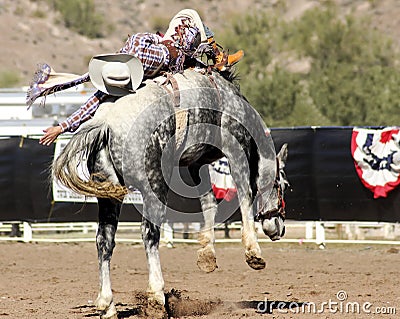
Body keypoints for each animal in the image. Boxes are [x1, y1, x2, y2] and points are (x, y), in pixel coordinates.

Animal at [52, 69, 288, 318]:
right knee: (149, 234)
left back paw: (107, 305)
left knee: (104, 241)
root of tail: (106, 122)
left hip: (109, 194)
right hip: (154, 186)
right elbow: (245, 194)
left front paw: (207, 254)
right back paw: (156, 296)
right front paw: (253, 253)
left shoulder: (196, 162)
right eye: (283, 183)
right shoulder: (236, 147)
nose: (279, 227)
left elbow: (209, 203)